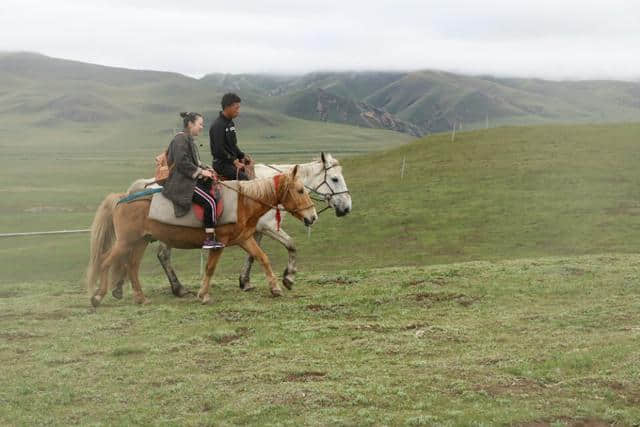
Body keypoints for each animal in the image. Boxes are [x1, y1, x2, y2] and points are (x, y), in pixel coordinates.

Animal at [86, 167, 316, 308]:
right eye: (300, 190)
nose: (312, 216)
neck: (243, 201)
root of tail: (121, 198)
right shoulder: (219, 243)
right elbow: (211, 268)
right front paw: (204, 294)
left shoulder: (245, 239)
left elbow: (263, 258)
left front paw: (276, 287)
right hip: (126, 242)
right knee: (106, 261)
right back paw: (97, 296)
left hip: (140, 241)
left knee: (132, 266)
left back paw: (140, 298)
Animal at [110, 152, 350, 300]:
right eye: (335, 179)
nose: (346, 208)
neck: (264, 190)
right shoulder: (268, 227)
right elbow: (291, 244)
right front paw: (288, 278)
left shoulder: (254, 231)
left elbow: (254, 255)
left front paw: (245, 281)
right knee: (159, 255)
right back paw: (176, 288)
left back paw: (121, 288)